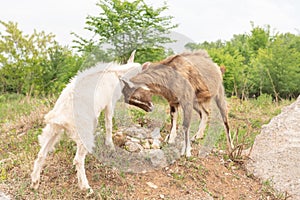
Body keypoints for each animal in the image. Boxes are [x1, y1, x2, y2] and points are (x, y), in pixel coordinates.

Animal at [31, 51, 141, 192]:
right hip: (81, 131)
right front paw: (110, 145)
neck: (117, 74)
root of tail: (61, 115)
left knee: (41, 153)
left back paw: (35, 182)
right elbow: (109, 124)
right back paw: (86, 187)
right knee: (78, 159)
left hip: (53, 130)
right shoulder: (109, 103)